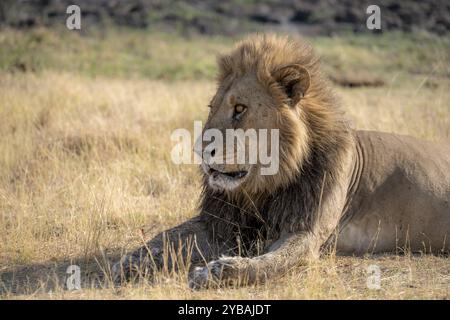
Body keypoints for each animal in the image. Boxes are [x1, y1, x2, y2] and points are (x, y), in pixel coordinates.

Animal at [110, 34, 448, 288]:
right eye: (211, 107)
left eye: (240, 109)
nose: (200, 151)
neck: (263, 187)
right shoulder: (220, 224)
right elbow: (166, 237)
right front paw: (129, 261)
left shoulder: (306, 232)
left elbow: (270, 264)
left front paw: (217, 271)